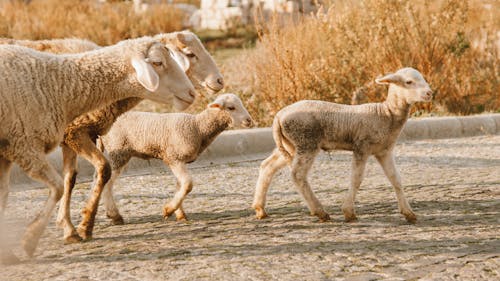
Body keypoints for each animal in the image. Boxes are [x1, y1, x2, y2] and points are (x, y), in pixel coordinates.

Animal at [0, 35, 197, 260]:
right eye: (158, 63)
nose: (192, 93)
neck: (58, 82)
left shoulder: (67, 137)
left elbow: (70, 179)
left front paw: (71, 227)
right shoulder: (38, 142)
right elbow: (86, 176)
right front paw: (78, 227)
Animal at [97, 93, 254, 222]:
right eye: (231, 108)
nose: (249, 121)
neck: (198, 127)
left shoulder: (179, 160)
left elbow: (181, 185)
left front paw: (180, 213)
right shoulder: (173, 158)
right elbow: (188, 184)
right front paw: (169, 209)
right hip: (118, 151)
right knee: (107, 182)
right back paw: (114, 215)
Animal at [252, 68, 432, 223]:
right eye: (409, 82)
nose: (429, 93)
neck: (386, 113)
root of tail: (278, 117)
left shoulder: (384, 151)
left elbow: (396, 179)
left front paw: (408, 213)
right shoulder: (362, 147)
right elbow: (356, 179)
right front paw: (349, 212)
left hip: (290, 145)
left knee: (268, 166)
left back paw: (260, 209)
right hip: (306, 141)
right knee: (298, 175)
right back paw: (320, 211)